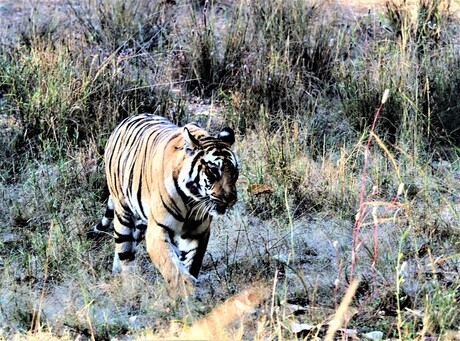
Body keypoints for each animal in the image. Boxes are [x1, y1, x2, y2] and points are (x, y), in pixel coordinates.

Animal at [90, 113, 241, 294]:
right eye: (213, 171)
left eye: (234, 172)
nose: (231, 198)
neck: (192, 201)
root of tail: (125, 120)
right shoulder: (157, 230)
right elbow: (172, 267)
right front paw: (188, 292)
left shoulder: (199, 232)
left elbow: (192, 261)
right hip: (123, 212)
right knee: (125, 251)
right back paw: (131, 286)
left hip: (141, 222)